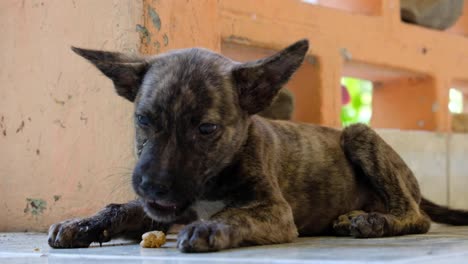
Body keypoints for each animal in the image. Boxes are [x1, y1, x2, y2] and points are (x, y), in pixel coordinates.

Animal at [48, 39, 468, 252]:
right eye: (143, 120)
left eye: (206, 128)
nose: (153, 186)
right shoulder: (164, 210)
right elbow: (120, 208)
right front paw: (83, 224)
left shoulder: (276, 212)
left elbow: (236, 214)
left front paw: (211, 227)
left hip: (358, 134)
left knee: (417, 217)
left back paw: (372, 221)